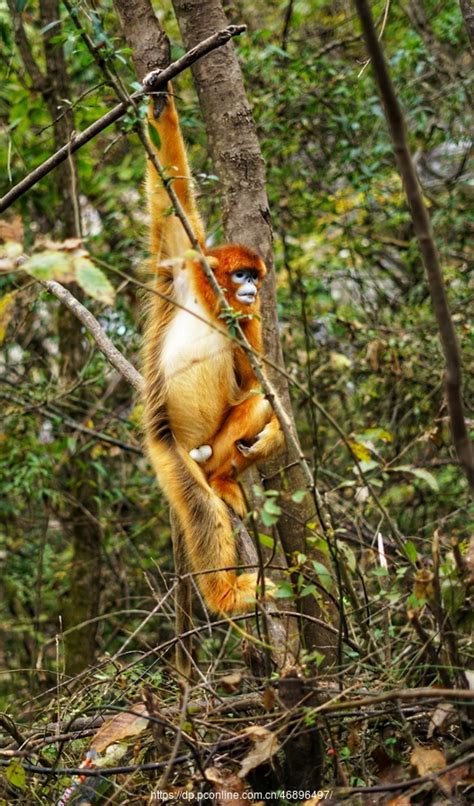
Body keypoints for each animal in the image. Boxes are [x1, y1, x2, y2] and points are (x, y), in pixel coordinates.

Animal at [141, 79, 282, 616]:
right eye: (241, 274)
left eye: (255, 277)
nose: (251, 290)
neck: (209, 300)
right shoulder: (181, 262)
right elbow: (171, 195)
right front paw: (160, 104)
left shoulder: (247, 318)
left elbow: (253, 382)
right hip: (171, 455)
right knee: (200, 510)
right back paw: (224, 595)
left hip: (211, 450)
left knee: (260, 403)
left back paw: (226, 479)